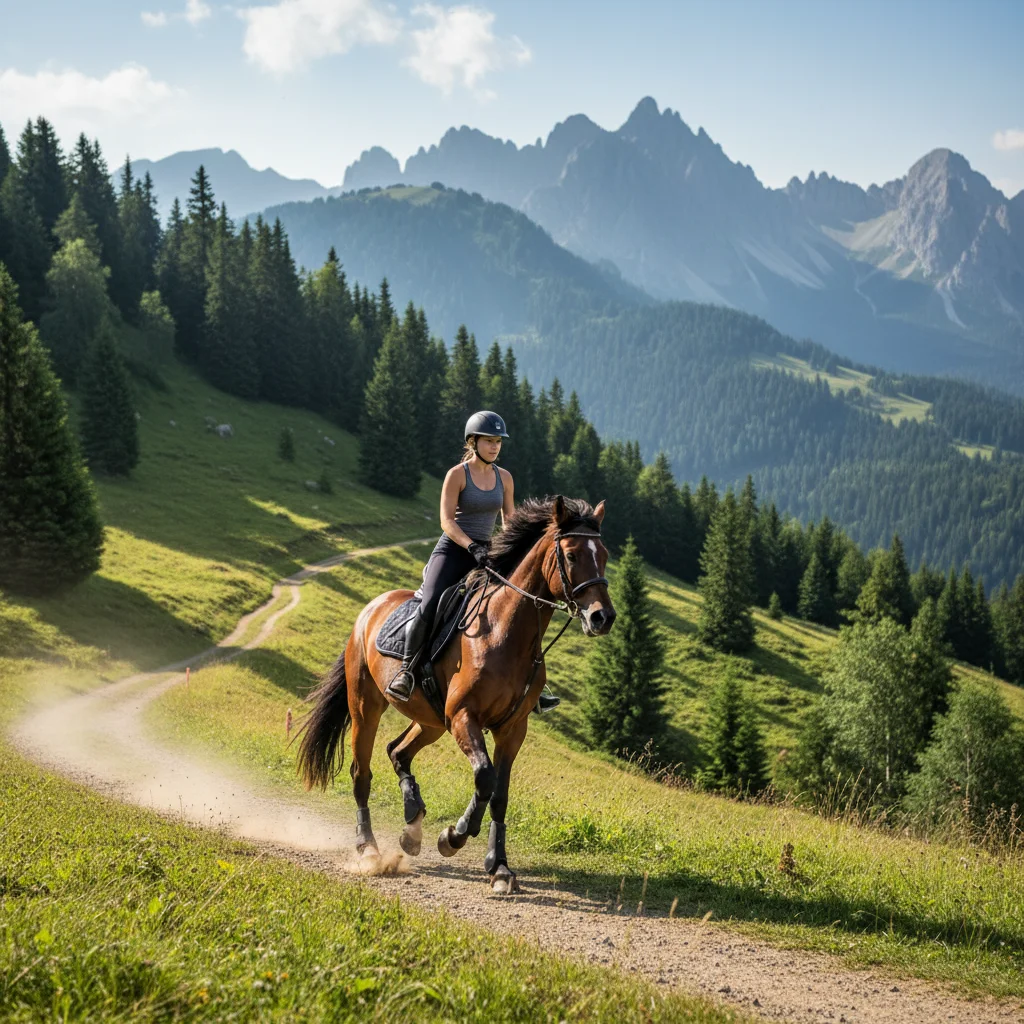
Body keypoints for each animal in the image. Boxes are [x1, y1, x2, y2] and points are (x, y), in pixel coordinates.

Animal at [296, 495, 616, 893]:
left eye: (604, 555)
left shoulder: (513, 729)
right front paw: (454, 836)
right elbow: (485, 776)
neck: (504, 633)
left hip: (431, 720)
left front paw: (500, 867)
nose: (603, 617)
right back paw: (369, 848)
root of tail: (369, 610)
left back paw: (412, 825)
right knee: (361, 773)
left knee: (398, 752)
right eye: (571, 555)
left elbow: (500, 794)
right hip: (366, 708)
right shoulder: (465, 715)